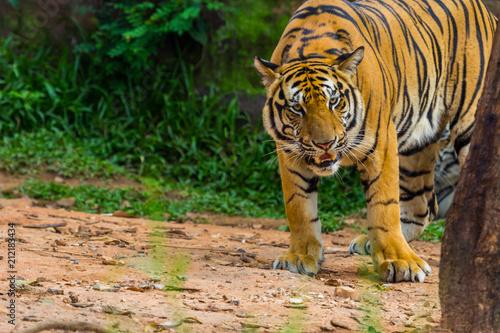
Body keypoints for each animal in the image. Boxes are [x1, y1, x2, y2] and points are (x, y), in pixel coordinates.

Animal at [254, 0, 496, 282]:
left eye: (333, 101)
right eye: (297, 108)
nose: (325, 144)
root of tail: (486, 11)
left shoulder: (382, 145)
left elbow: (384, 204)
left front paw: (399, 261)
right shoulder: (290, 152)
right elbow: (298, 206)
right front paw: (300, 256)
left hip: (470, 123)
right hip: (416, 145)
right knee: (423, 204)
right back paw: (372, 243)